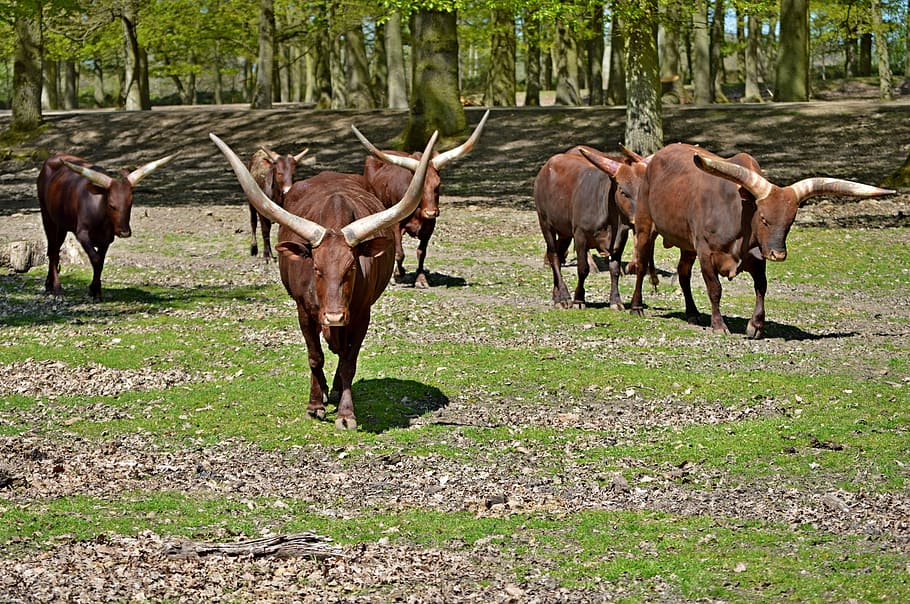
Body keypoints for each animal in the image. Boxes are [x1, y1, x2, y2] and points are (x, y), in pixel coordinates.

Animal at [36, 152, 177, 300]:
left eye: (130, 203)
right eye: (111, 204)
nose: (124, 233)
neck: (99, 212)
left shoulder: (107, 239)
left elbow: (101, 262)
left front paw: (95, 290)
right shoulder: (82, 234)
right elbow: (96, 259)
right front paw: (94, 290)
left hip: (61, 224)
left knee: (54, 250)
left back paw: (49, 284)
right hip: (48, 218)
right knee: (53, 252)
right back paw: (57, 288)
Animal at [210, 130, 437, 430]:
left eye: (351, 267)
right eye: (316, 268)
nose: (334, 316)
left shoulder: (361, 315)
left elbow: (349, 361)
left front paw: (346, 414)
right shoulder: (304, 312)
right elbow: (315, 357)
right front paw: (315, 405)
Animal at [351, 109, 490, 288]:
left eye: (438, 184)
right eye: (419, 187)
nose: (431, 212)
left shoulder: (429, 227)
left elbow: (421, 252)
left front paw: (421, 279)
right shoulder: (396, 224)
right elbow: (399, 252)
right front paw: (399, 274)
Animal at [532, 145, 646, 310]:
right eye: (623, 191)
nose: (640, 218)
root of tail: (547, 166)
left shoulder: (620, 239)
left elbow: (614, 269)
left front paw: (616, 301)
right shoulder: (580, 235)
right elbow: (582, 269)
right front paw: (579, 299)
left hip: (565, 231)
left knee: (558, 255)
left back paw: (556, 296)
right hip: (545, 223)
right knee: (554, 256)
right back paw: (564, 297)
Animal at [629, 142, 894, 338]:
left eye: (790, 221)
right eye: (765, 218)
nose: (778, 254)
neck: (740, 215)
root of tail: (656, 157)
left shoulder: (757, 257)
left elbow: (761, 287)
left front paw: (755, 325)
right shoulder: (706, 252)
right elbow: (715, 289)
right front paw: (719, 325)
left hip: (686, 244)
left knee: (683, 272)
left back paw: (692, 313)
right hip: (645, 226)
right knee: (641, 265)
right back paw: (636, 307)